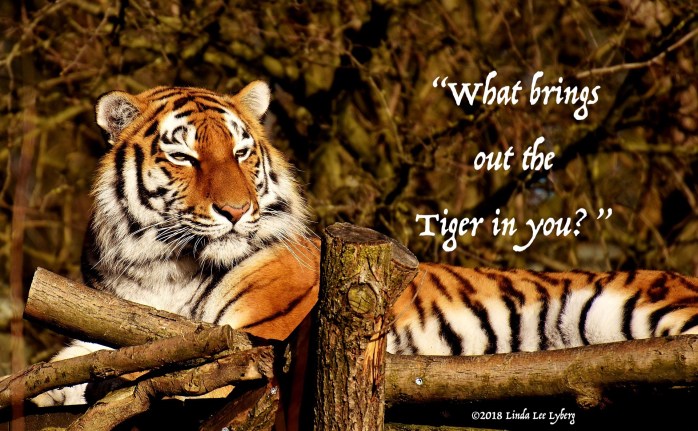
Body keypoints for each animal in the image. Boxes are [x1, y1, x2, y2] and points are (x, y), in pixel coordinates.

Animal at [34, 81, 698, 407]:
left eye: (242, 151)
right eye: (185, 156)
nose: (237, 211)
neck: (163, 268)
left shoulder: (256, 347)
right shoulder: (103, 326)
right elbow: (60, 365)